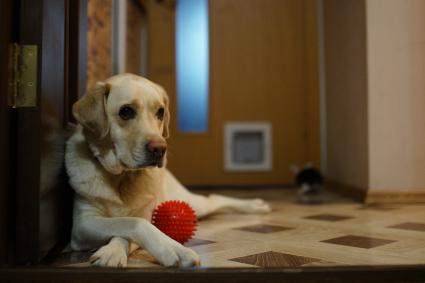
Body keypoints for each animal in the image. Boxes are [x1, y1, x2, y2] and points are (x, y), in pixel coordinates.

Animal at [65, 74, 272, 268]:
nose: (160, 149)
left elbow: (133, 224)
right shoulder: (82, 225)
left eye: (160, 112)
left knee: (215, 198)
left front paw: (171, 249)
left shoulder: (144, 215)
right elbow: (130, 223)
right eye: (126, 111)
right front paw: (115, 251)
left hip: (193, 203)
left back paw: (255, 205)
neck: (122, 179)